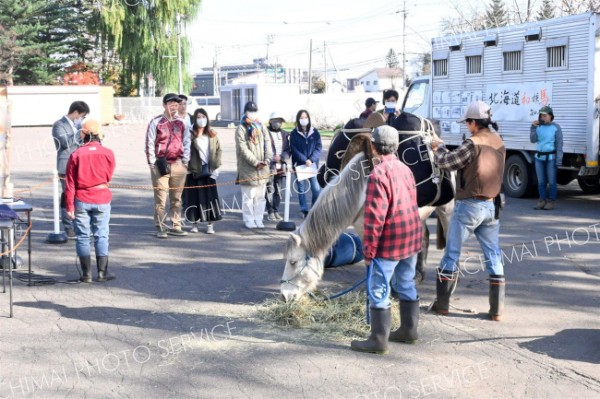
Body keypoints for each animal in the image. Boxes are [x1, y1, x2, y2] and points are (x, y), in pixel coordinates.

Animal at [282, 111, 454, 302]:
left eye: (293, 261)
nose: (284, 296)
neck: (360, 189)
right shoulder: (363, 227)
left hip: (446, 209)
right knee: (423, 237)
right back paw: (419, 275)